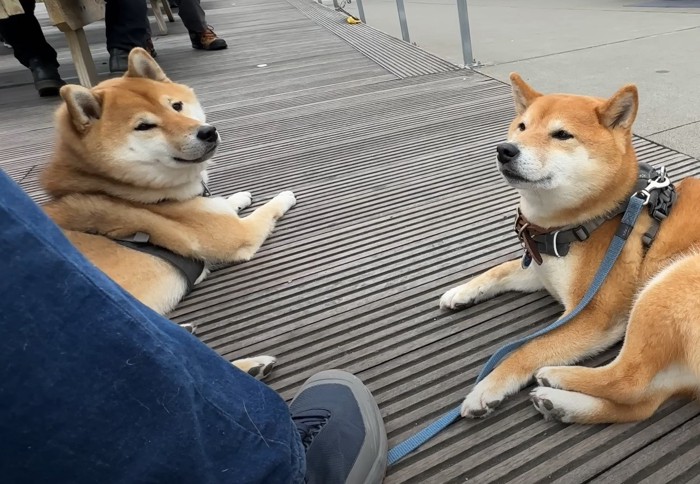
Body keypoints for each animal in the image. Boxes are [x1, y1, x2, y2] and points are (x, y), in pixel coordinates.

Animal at [40, 48, 296, 378]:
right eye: (144, 126)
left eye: (176, 106)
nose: (208, 132)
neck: (119, 190)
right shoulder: (240, 234)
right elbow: (269, 208)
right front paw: (284, 195)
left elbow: (225, 203)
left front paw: (237, 197)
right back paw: (251, 366)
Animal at [440, 73, 700, 424]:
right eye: (522, 127)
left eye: (561, 134)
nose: (505, 149)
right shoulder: (541, 267)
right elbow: (498, 271)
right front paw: (461, 291)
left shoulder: (594, 316)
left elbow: (530, 347)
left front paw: (488, 387)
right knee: (642, 403)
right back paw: (560, 403)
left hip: (670, 281)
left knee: (627, 380)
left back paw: (556, 376)